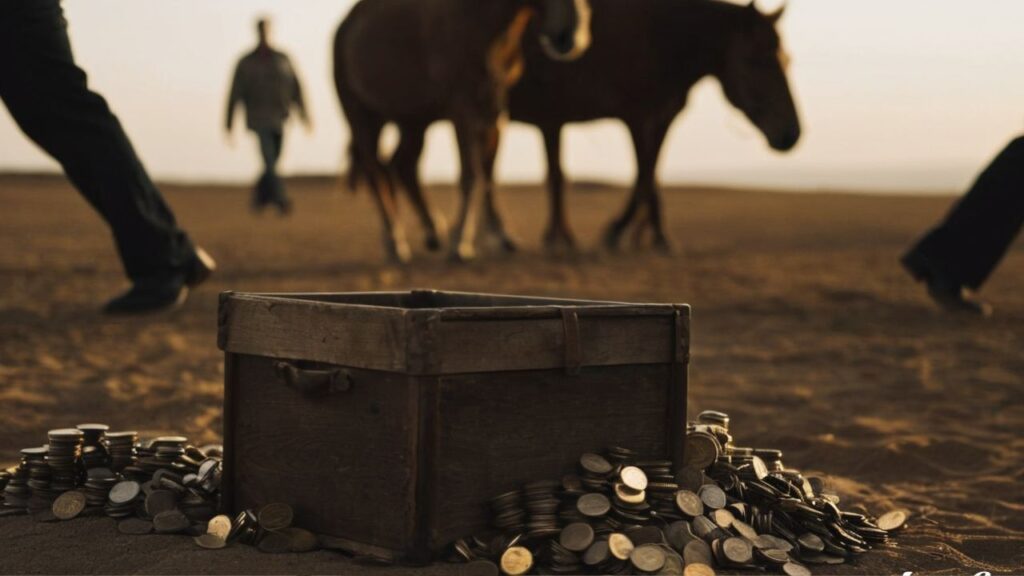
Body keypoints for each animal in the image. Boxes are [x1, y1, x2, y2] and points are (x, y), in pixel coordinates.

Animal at [335, 0, 593, 261]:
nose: (570, 36)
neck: (485, 23)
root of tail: (345, 26)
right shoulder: (462, 110)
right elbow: (470, 175)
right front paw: (460, 242)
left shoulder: (494, 110)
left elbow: (487, 175)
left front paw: (501, 237)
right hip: (362, 115)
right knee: (375, 172)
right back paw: (395, 241)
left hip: (413, 121)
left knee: (401, 166)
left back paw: (431, 231)